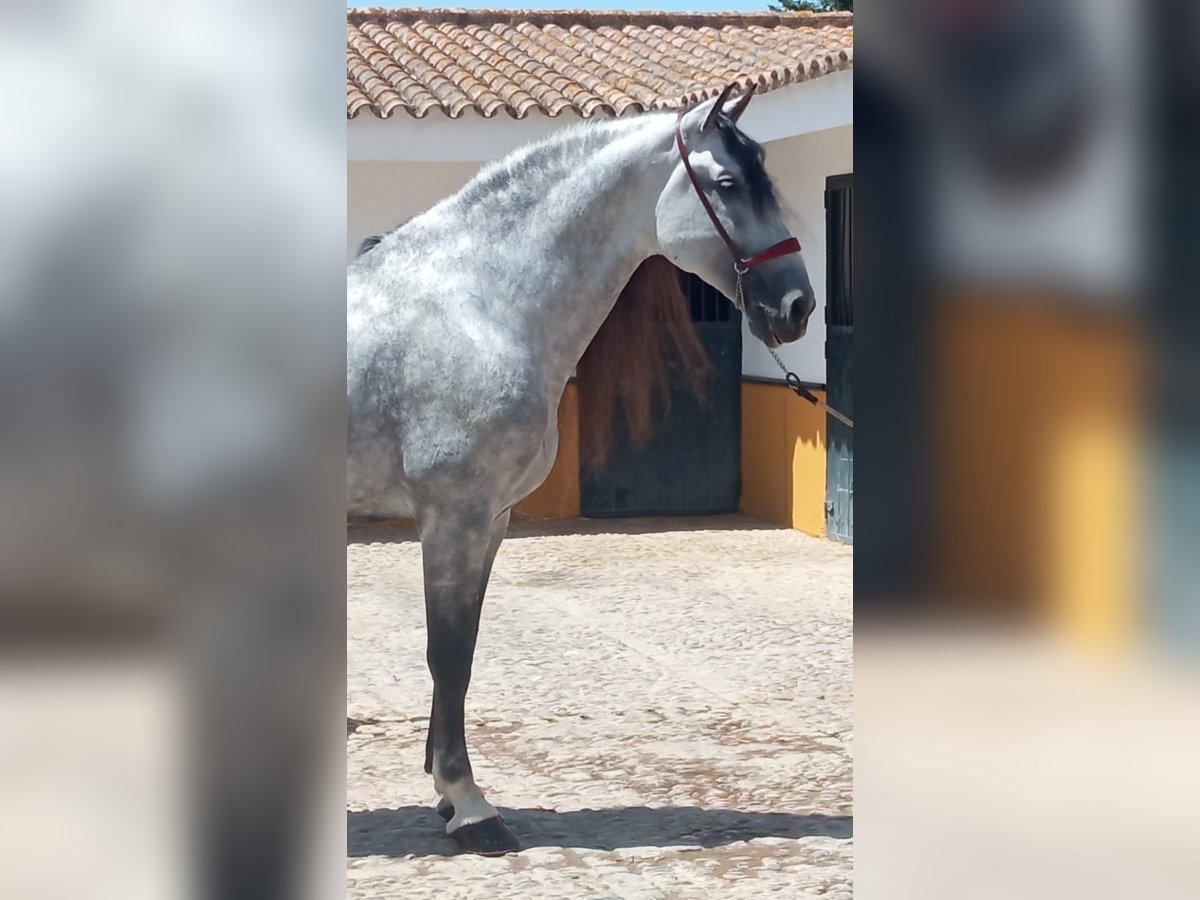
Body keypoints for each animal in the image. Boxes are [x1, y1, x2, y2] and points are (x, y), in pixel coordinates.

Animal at [348, 86, 816, 859]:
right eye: (726, 184)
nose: (798, 306)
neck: (477, 306)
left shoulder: (491, 522)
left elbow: (463, 654)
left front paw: (448, 797)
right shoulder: (454, 518)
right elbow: (447, 654)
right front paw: (470, 805)